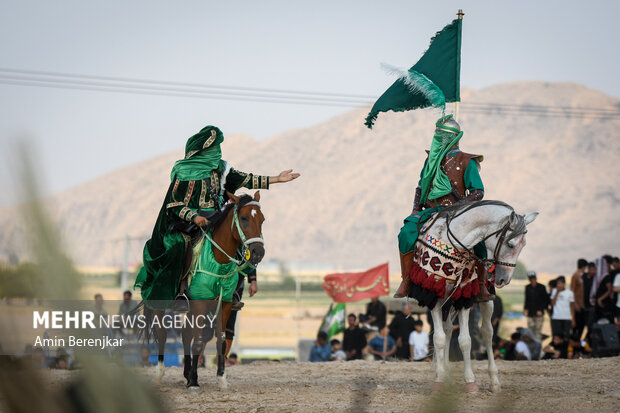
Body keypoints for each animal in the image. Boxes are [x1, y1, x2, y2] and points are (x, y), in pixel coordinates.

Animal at [416, 201, 536, 392]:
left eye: (523, 245)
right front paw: (439, 379)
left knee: (487, 333)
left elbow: (465, 340)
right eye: (510, 245)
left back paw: (494, 381)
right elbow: (438, 338)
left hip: (485, 301)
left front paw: (470, 381)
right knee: (446, 330)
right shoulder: (434, 297)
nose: (504, 279)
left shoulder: (463, 299)